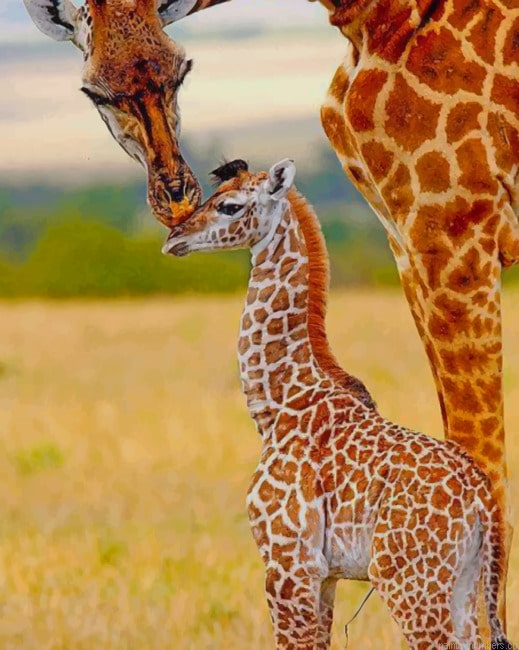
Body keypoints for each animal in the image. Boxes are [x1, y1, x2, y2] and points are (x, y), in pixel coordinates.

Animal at [163, 158, 513, 650]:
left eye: (229, 205)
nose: (174, 237)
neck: (278, 404)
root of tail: (482, 498)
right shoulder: (324, 574)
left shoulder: (288, 563)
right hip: (463, 581)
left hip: (408, 581)